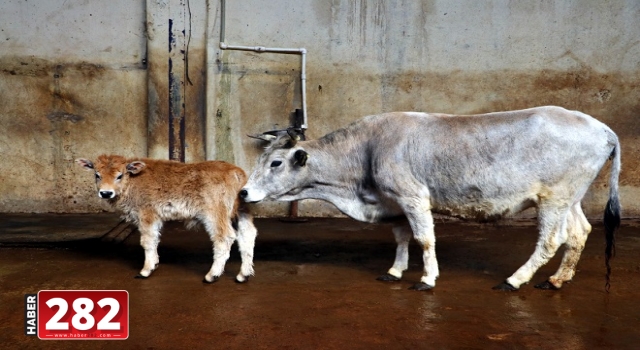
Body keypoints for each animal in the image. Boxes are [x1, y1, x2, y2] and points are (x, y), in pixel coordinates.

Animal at [79, 154, 258, 284]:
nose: (106, 193)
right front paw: (154, 264)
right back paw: (243, 275)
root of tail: (236, 172)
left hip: (214, 215)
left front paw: (145, 270)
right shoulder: (156, 218)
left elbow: (147, 241)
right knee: (247, 235)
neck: (133, 180)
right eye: (97, 175)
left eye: (119, 176)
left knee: (224, 237)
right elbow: (155, 239)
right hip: (241, 211)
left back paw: (211, 275)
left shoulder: (147, 215)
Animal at [240, 105, 620, 292]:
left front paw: (426, 279)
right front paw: (395, 271)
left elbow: (424, 238)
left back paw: (515, 280)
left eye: (275, 163)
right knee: (579, 232)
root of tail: (602, 127)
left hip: (553, 198)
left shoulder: (413, 196)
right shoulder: (394, 202)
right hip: (570, 197)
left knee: (551, 240)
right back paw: (557, 280)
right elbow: (401, 237)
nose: (244, 191)